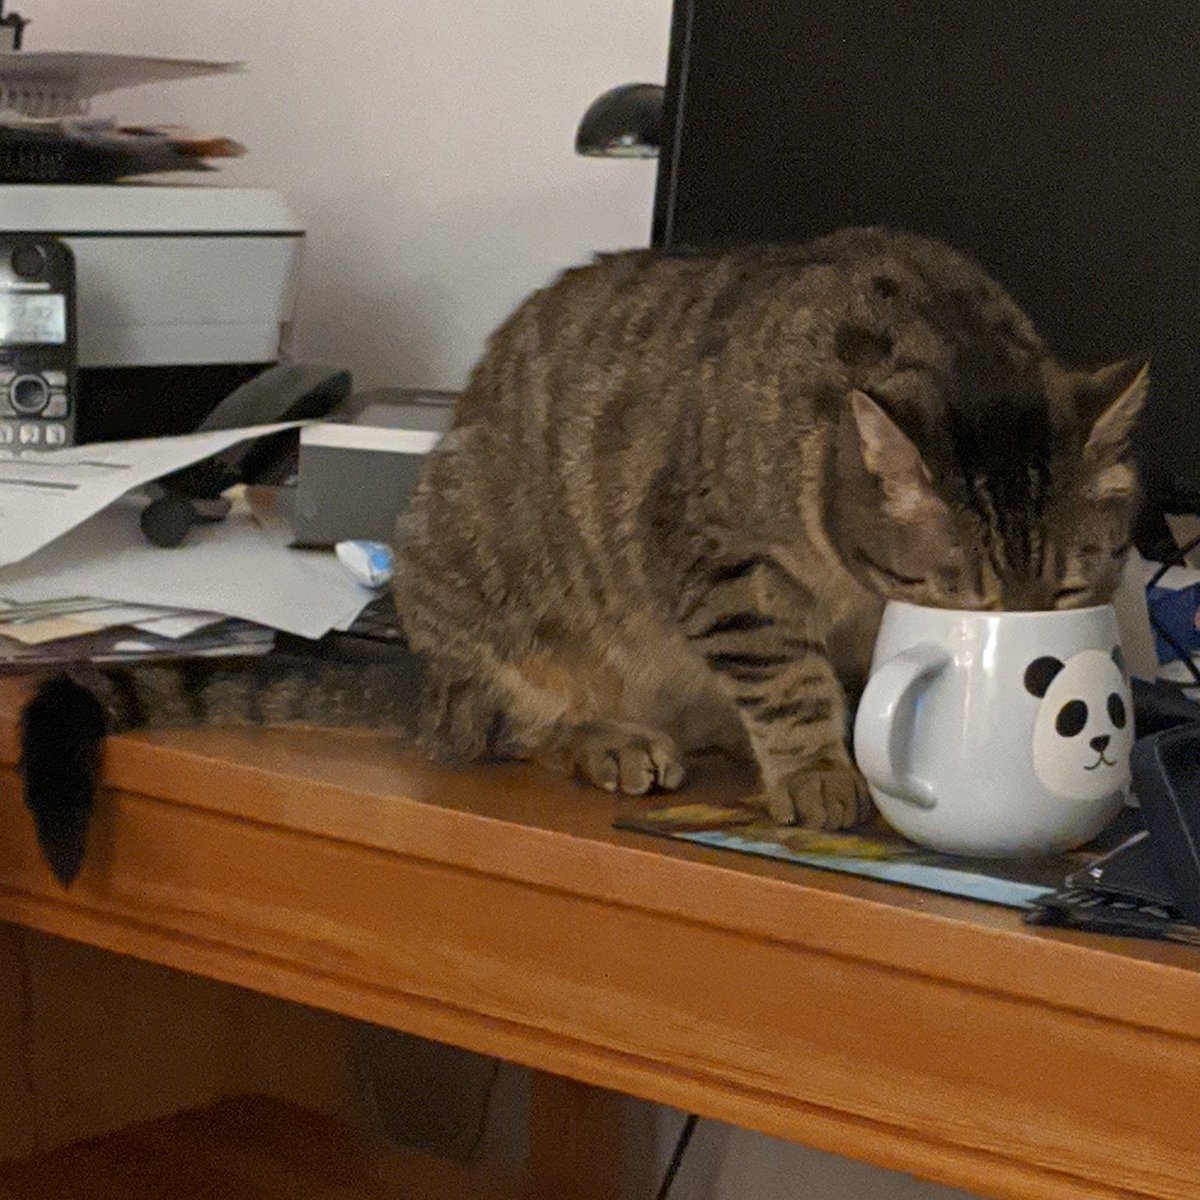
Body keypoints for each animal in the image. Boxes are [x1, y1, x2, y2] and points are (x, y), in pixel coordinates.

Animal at [18, 226, 1142, 883]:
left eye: (1067, 589)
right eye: (960, 598)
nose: (1027, 649)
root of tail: (424, 681)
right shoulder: (719, 563)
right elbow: (788, 679)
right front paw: (822, 768)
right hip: (481, 583)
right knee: (505, 727)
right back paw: (608, 739)